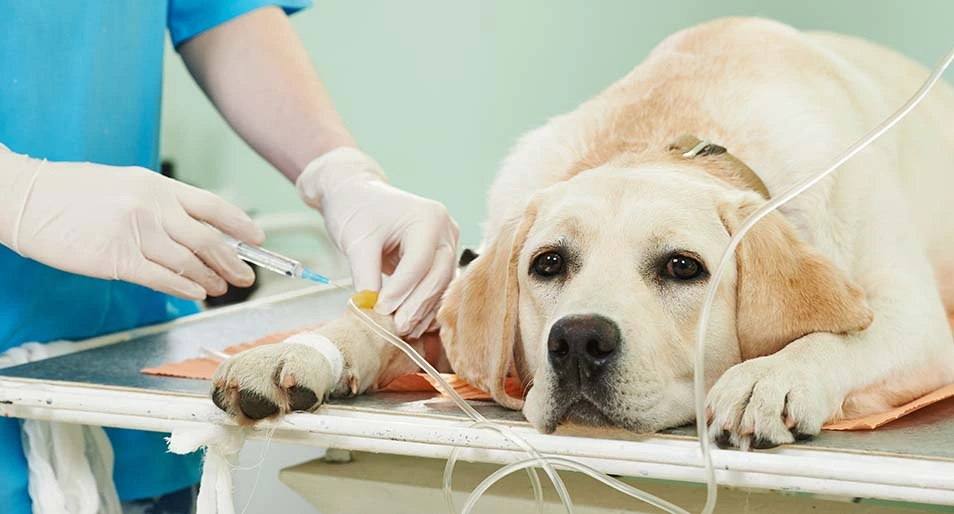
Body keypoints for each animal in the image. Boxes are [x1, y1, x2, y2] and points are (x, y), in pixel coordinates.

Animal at [212, 18, 952, 446]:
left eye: (683, 267)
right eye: (547, 264)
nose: (577, 341)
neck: (672, 133)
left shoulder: (921, 324)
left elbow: (837, 336)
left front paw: (772, 376)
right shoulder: (452, 294)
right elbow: (385, 320)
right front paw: (299, 349)